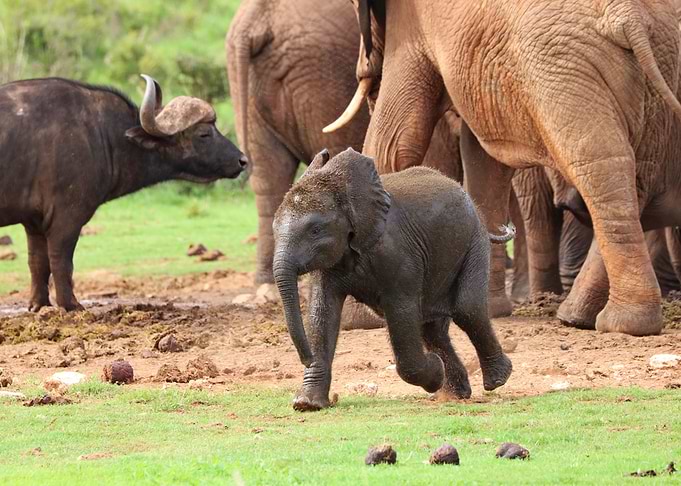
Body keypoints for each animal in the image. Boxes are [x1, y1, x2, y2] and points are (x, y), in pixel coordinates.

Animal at [272, 148, 514, 411]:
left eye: (315, 231)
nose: (306, 359)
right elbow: (322, 313)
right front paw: (307, 405)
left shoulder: (398, 254)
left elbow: (400, 310)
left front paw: (435, 372)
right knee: (432, 328)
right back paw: (455, 393)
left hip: (474, 242)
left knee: (467, 308)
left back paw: (496, 380)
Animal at [327, 0, 681, 335]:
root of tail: (628, 16)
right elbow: (483, 159)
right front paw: (486, 308)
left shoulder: (411, 26)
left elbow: (394, 138)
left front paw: (359, 319)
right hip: (653, 66)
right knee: (629, 175)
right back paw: (588, 317)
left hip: (567, 72)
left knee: (596, 163)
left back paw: (616, 323)